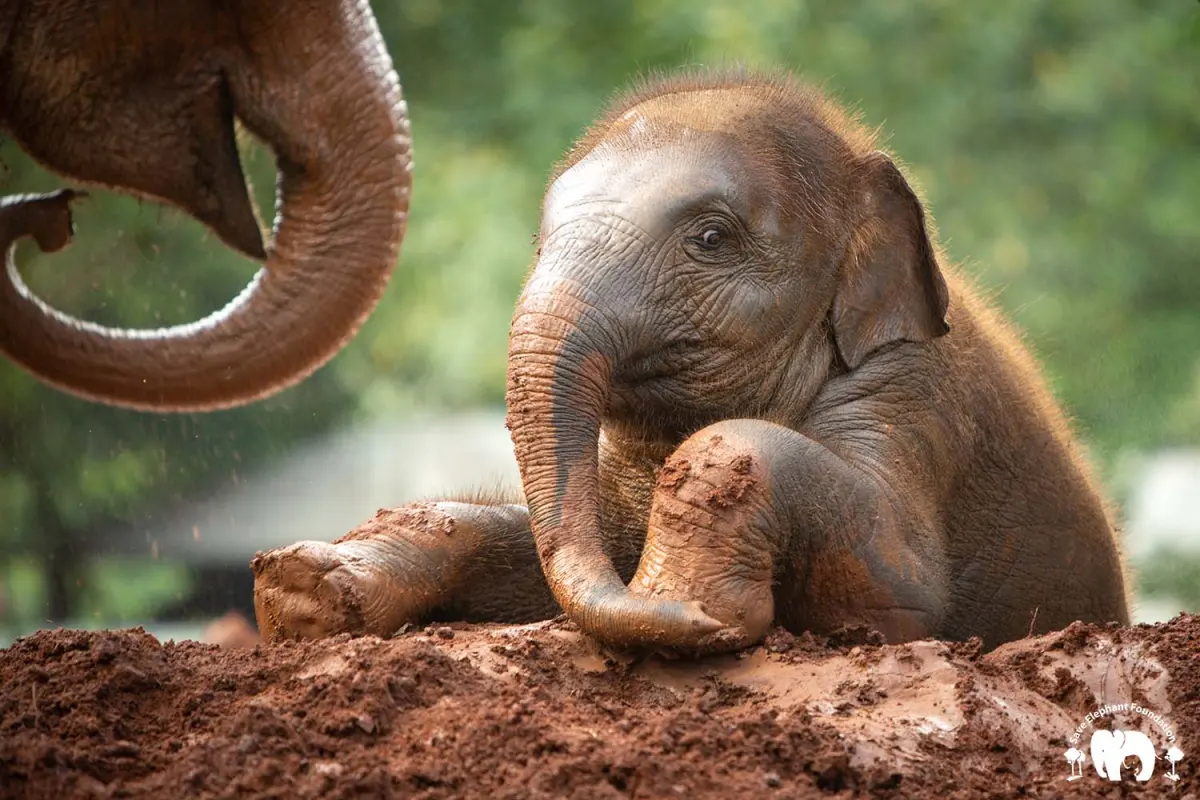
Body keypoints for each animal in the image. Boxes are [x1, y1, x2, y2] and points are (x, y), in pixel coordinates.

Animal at [251, 69, 1131, 653]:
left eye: (711, 238)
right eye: (539, 241)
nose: (696, 617)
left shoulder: (916, 399)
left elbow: (905, 592)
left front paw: (697, 608)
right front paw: (303, 588)